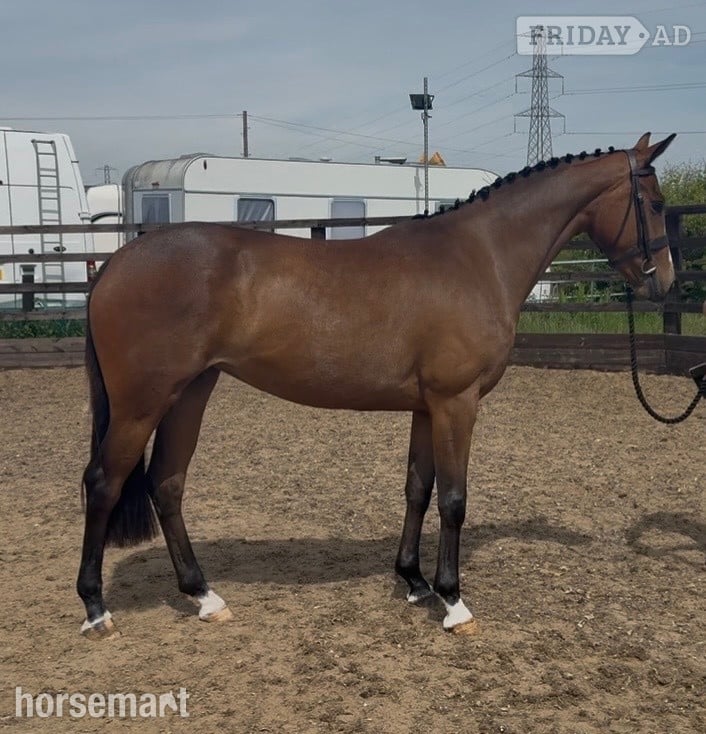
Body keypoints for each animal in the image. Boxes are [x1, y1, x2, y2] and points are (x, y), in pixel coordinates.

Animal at [77, 132, 676, 639]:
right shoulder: (456, 403)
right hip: (142, 404)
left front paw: (414, 580)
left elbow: (418, 487)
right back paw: (96, 608)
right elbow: (453, 498)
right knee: (105, 483)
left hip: (190, 393)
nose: (665, 283)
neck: (479, 255)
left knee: (166, 484)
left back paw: (204, 595)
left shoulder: (427, 407)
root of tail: (114, 265)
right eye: (655, 203)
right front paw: (454, 601)